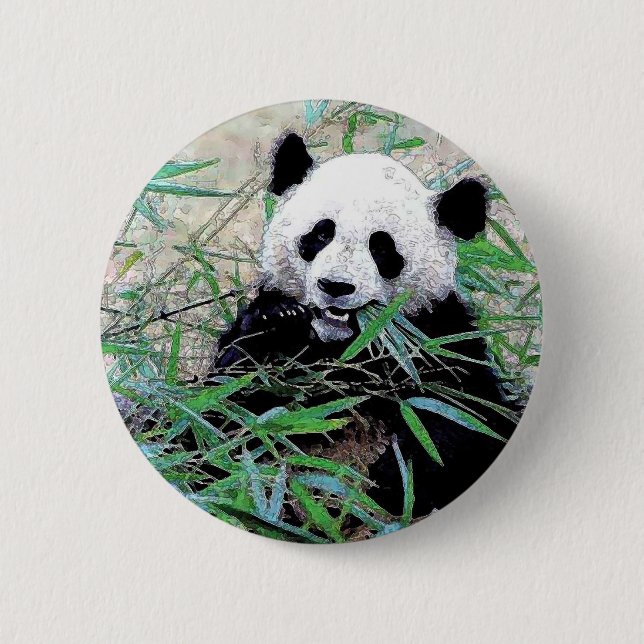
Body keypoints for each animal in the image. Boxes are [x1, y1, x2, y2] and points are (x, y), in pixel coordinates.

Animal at [214, 133, 518, 520]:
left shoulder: (436, 340)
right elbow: (226, 405)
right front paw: (278, 320)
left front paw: (393, 477)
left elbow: (464, 418)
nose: (335, 286)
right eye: (321, 234)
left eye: (381, 247)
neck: (346, 345)